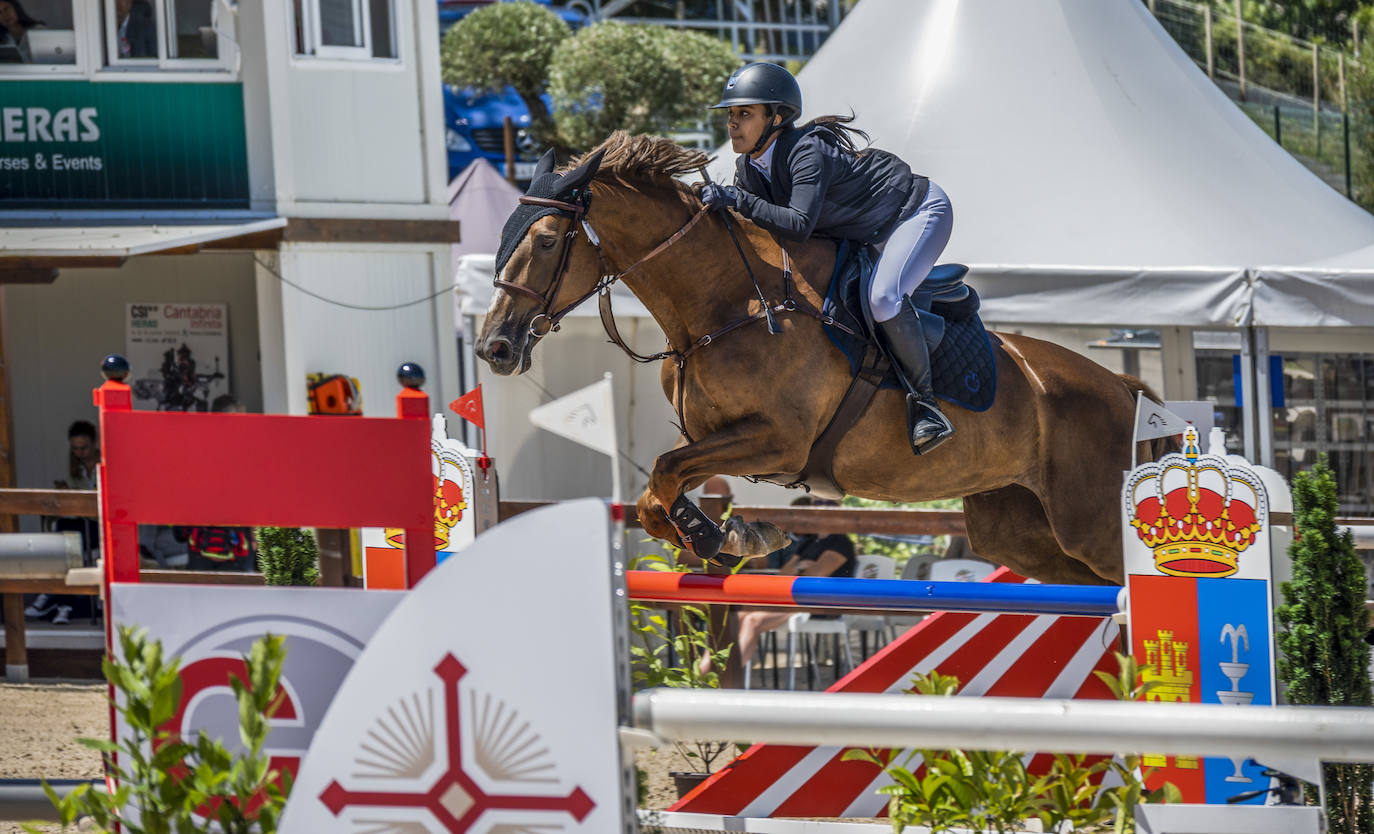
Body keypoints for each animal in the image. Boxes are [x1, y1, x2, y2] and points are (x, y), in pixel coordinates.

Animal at [478, 133, 1165, 585]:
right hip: (1025, 535)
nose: (494, 348)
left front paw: (727, 536)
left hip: (1090, 524)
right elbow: (657, 490)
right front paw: (730, 537)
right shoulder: (713, 438)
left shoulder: (779, 442)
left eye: (546, 241)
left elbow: (666, 474)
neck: (725, 304)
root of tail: (1124, 387)